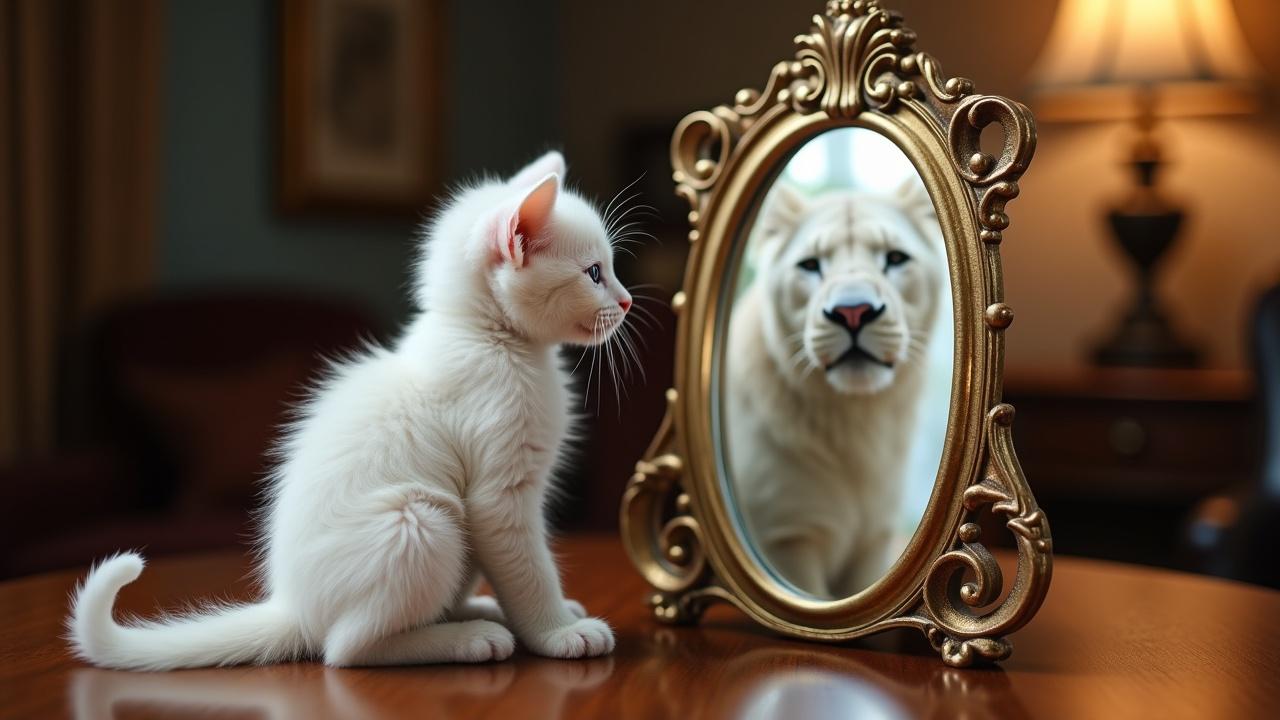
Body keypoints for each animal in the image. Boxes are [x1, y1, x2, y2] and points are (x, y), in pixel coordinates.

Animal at [63, 151, 634, 666]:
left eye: (608, 270)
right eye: (593, 273)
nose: (628, 301)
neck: (488, 337)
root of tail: (295, 609)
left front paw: (556, 617)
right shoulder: (500, 497)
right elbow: (528, 568)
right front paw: (558, 632)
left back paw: (477, 612)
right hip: (423, 519)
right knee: (346, 649)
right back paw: (468, 638)